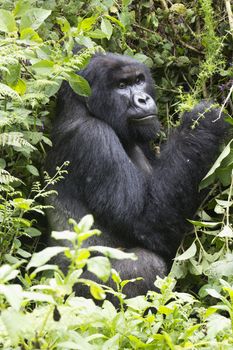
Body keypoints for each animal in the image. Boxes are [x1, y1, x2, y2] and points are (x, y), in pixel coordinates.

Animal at [44, 52, 227, 298]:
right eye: (122, 86)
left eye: (139, 80)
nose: (142, 99)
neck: (81, 107)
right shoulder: (92, 136)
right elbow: (146, 221)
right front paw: (201, 121)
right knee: (146, 264)